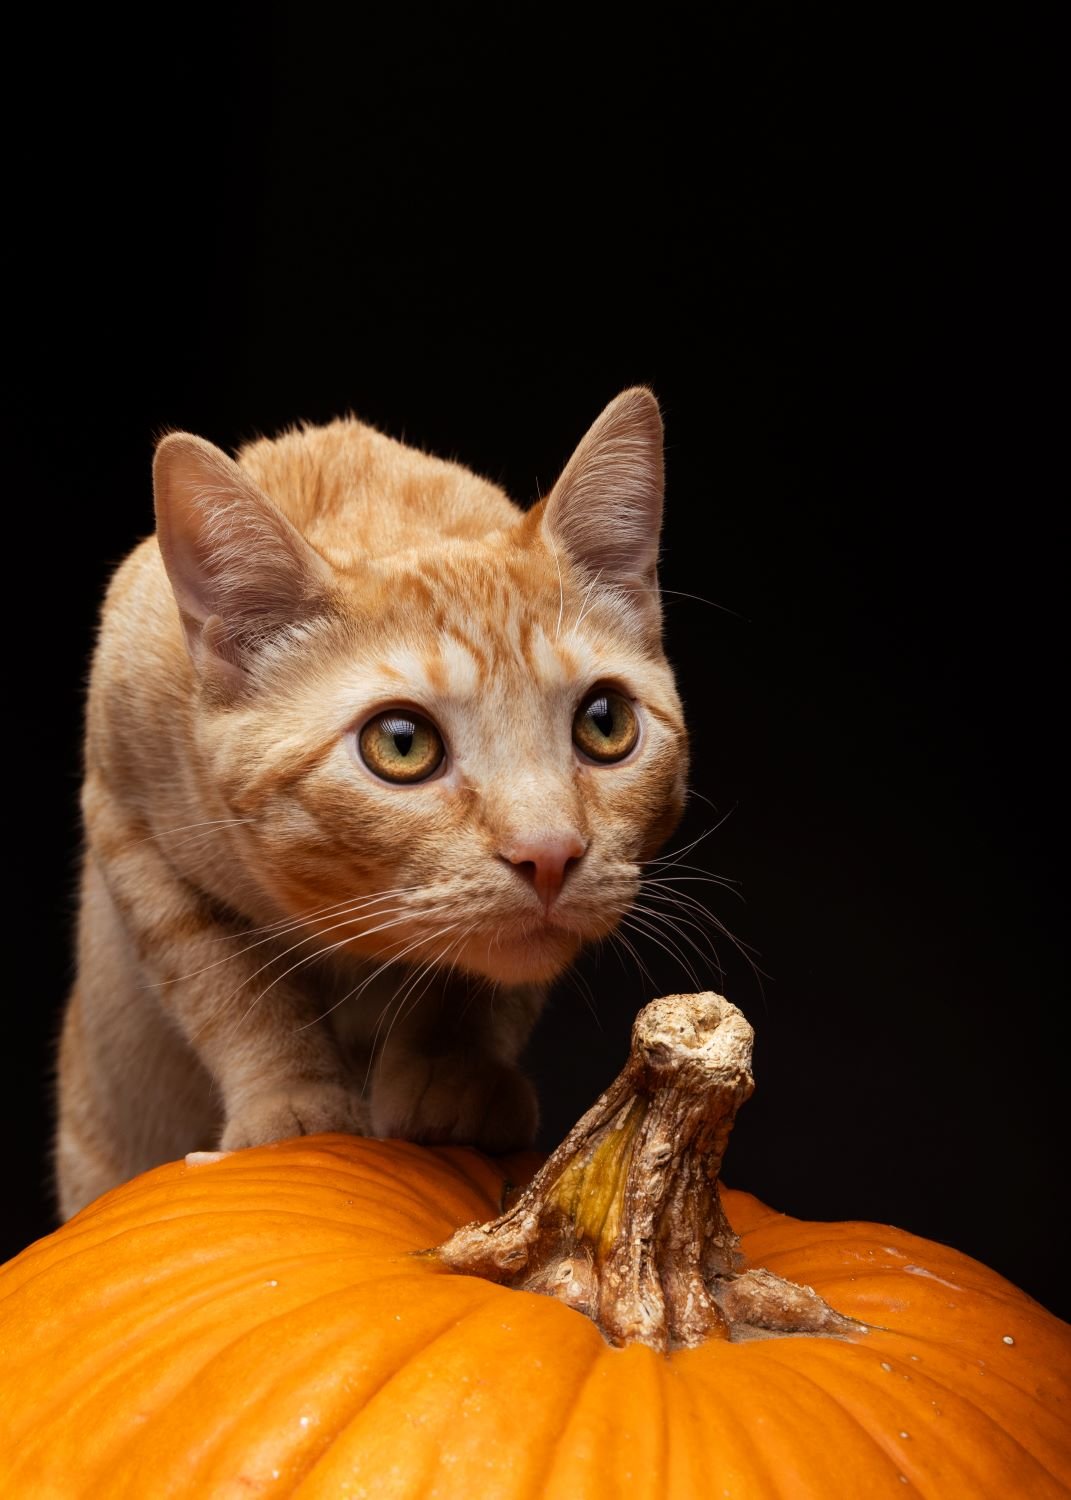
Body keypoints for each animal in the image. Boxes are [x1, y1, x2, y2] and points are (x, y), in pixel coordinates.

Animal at [54, 390, 684, 1218]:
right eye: (402, 744)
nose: (549, 853)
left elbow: (480, 977)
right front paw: (292, 1102)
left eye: (604, 725)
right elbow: (226, 982)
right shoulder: (124, 815)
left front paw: (451, 1076)